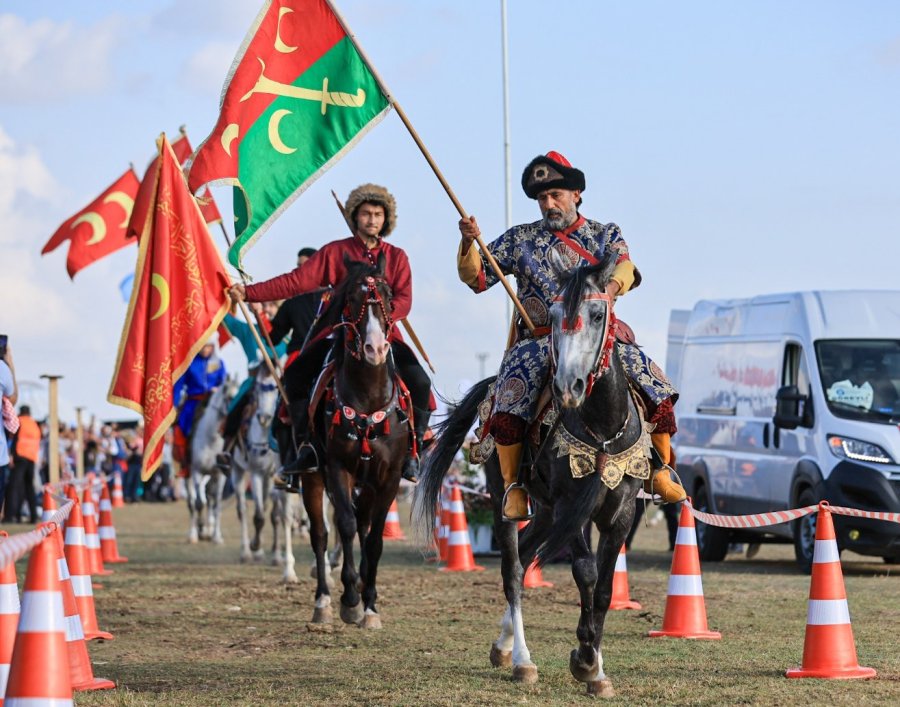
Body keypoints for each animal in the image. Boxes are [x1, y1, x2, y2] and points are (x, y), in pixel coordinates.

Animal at [230, 370, 280, 564]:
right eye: (257, 389)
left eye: (276, 389)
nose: (264, 418)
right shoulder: (256, 473)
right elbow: (258, 516)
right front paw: (255, 545)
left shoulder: (273, 475)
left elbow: (274, 515)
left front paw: (276, 554)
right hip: (237, 471)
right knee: (242, 510)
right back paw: (246, 552)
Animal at [304, 256, 414, 632]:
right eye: (351, 298)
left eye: (389, 296)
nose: (375, 349)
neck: (368, 399)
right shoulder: (338, 469)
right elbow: (346, 525)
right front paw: (351, 599)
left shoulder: (389, 477)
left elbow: (375, 538)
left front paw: (370, 605)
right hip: (313, 477)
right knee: (322, 534)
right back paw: (323, 602)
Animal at [414, 253, 648, 696]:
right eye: (554, 316)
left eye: (597, 314)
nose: (568, 386)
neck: (603, 430)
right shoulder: (571, 507)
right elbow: (586, 573)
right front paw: (585, 660)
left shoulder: (621, 513)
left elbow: (605, 590)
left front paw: (597, 668)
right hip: (506, 498)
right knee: (513, 569)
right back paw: (522, 660)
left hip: (543, 511)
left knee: (524, 556)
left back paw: (504, 646)